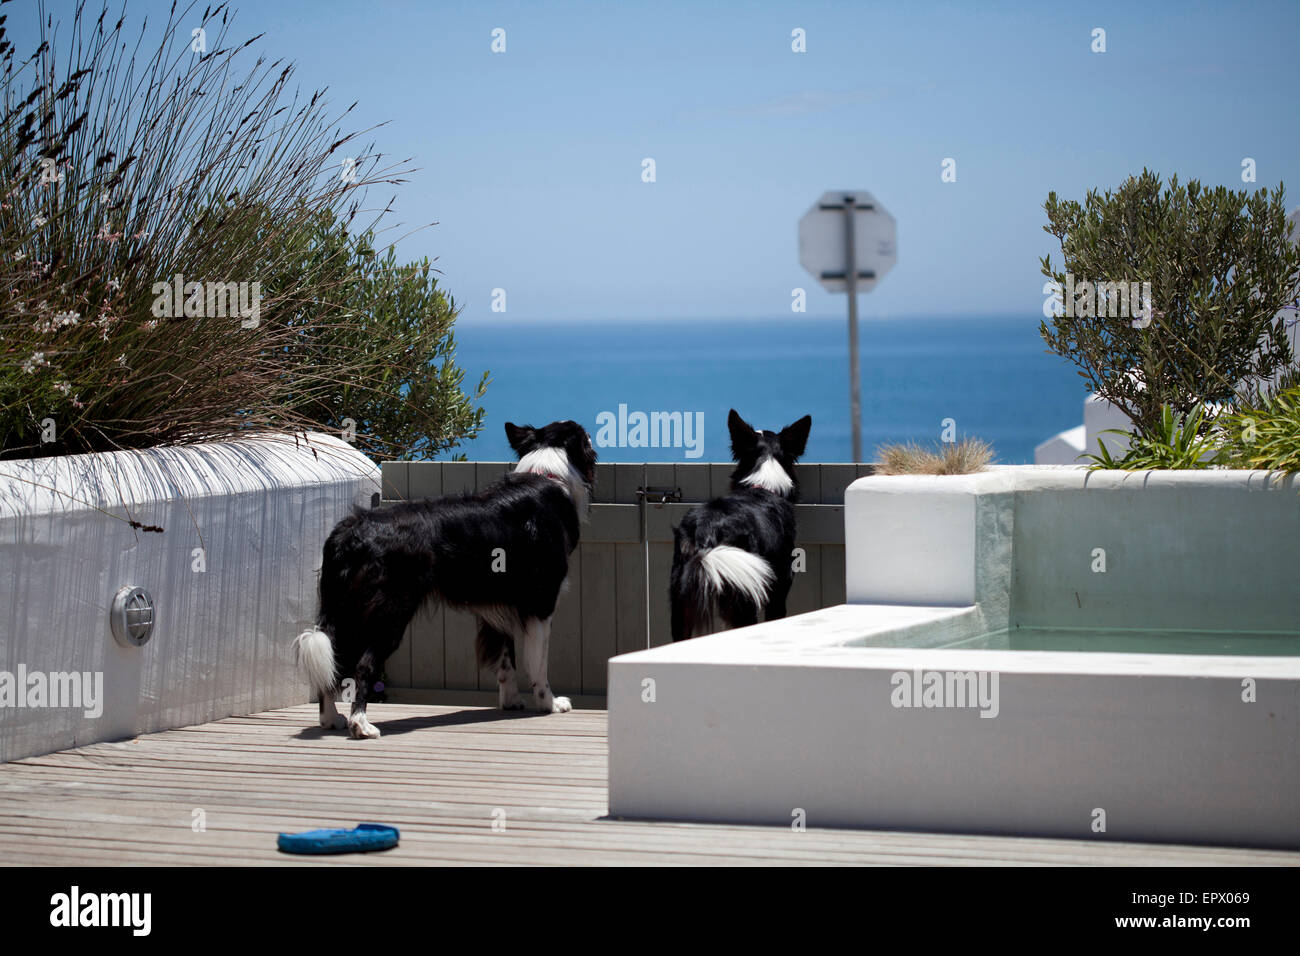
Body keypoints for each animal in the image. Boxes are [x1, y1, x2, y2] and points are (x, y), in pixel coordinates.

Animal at [293, 418, 595, 738]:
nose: (591, 434)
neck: (547, 470)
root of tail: (351, 529)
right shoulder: (541, 603)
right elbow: (538, 663)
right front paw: (550, 703)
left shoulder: (499, 607)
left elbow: (506, 661)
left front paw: (511, 702)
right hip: (387, 613)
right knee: (363, 665)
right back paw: (361, 724)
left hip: (346, 611)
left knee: (335, 659)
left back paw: (331, 719)